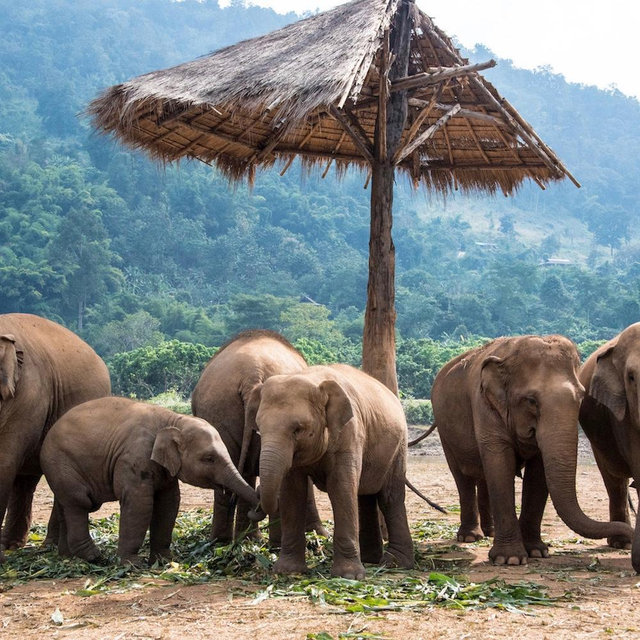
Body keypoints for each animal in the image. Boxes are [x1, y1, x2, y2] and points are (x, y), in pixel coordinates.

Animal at [40, 396, 259, 565]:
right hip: (61, 464)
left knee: (64, 504)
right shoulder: (134, 459)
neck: (174, 419)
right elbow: (139, 504)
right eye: (209, 458)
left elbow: (169, 503)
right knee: (79, 502)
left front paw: (165, 561)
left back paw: (67, 557)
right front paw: (131, 564)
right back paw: (96, 558)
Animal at [252, 363, 414, 580]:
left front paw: (349, 576)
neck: (313, 378)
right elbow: (292, 492)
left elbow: (341, 488)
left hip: (399, 447)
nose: (257, 496)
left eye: (298, 429)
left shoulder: (349, 433)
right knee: (364, 496)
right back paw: (370, 559)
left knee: (390, 497)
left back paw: (395, 563)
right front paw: (288, 571)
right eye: (259, 428)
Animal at [431, 334, 633, 566]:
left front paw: (537, 552)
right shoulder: (484, 407)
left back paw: (490, 532)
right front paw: (509, 559)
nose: (631, 536)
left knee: (482, 477)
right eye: (531, 400)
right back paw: (470, 537)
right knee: (462, 477)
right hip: (444, 431)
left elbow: (537, 473)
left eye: (581, 397)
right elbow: (500, 466)